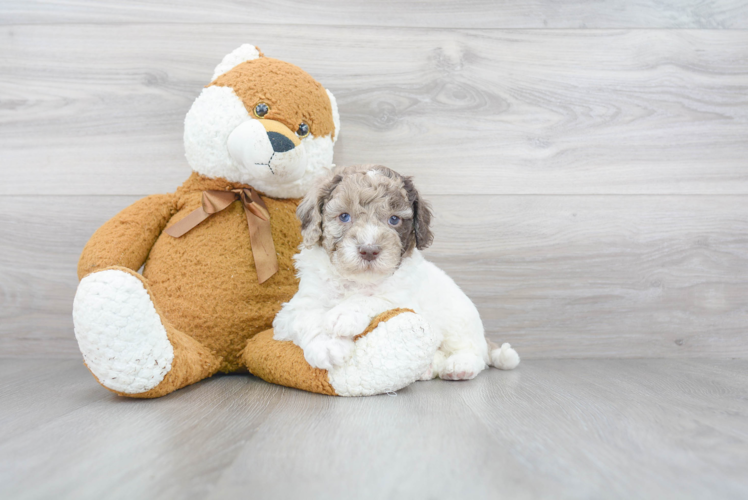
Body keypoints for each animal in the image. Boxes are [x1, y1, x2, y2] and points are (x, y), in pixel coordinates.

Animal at [274, 164, 520, 378]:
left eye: (394, 220)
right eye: (344, 216)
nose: (369, 250)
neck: (358, 280)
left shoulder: (404, 300)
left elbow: (375, 298)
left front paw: (344, 314)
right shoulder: (296, 306)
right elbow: (306, 316)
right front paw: (327, 345)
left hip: (459, 321)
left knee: (475, 353)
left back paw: (460, 366)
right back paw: (429, 369)